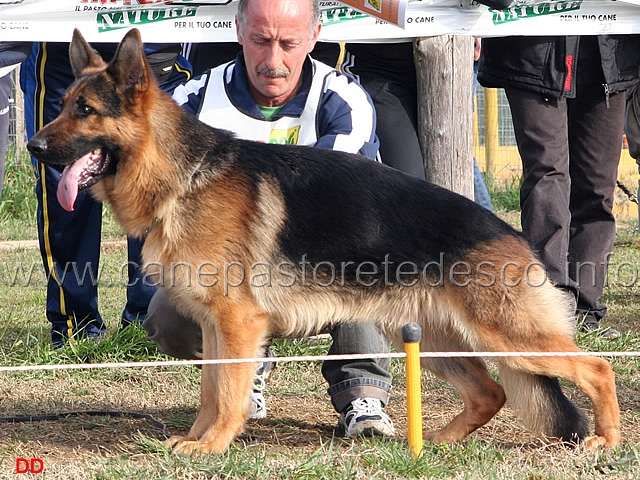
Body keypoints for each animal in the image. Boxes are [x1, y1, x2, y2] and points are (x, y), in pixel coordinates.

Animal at [27, 28, 624, 456]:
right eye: (62, 105)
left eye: (85, 111)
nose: (33, 146)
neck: (183, 175)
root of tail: (512, 234)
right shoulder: (217, 326)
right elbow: (211, 391)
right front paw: (198, 439)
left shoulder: (237, 323)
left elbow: (226, 394)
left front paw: (213, 446)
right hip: (432, 339)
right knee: (492, 392)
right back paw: (434, 444)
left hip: (506, 335)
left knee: (597, 368)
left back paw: (607, 440)